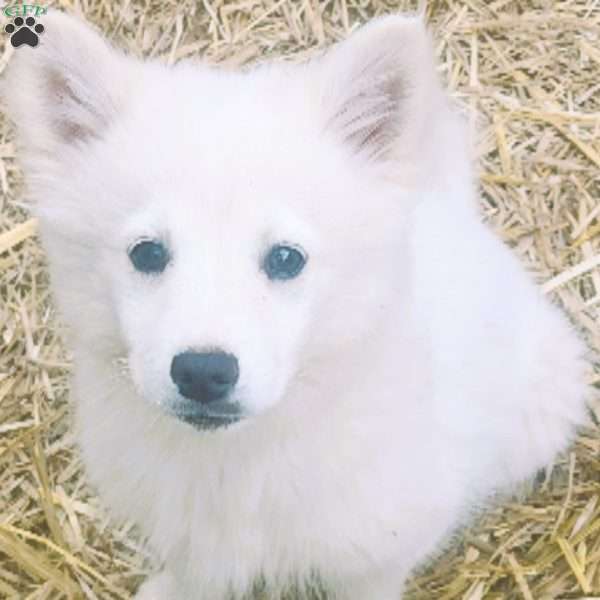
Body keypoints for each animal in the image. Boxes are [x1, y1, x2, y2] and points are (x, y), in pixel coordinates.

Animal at [2, 9, 588, 600]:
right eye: (147, 253)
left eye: (286, 258)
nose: (203, 372)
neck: (240, 459)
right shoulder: (194, 538)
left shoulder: (377, 554)